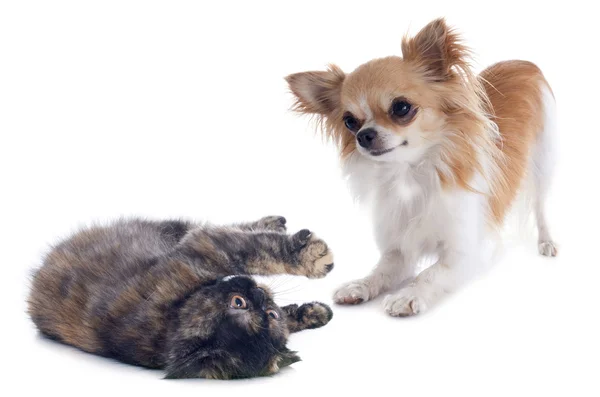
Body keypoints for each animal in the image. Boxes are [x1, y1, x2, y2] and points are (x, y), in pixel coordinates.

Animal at [28, 215, 336, 378]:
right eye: (239, 302)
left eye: (270, 315)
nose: (258, 292)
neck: (172, 322)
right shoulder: (201, 250)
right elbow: (256, 251)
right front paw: (311, 259)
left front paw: (314, 313)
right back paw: (277, 223)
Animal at [286, 17, 556, 316]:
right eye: (349, 121)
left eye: (401, 108)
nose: (363, 135)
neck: (410, 173)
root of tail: (522, 62)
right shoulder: (398, 251)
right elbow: (380, 271)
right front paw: (360, 285)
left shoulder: (467, 250)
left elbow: (430, 273)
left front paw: (408, 295)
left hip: (543, 164)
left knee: (540, 207)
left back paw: (546, 242)